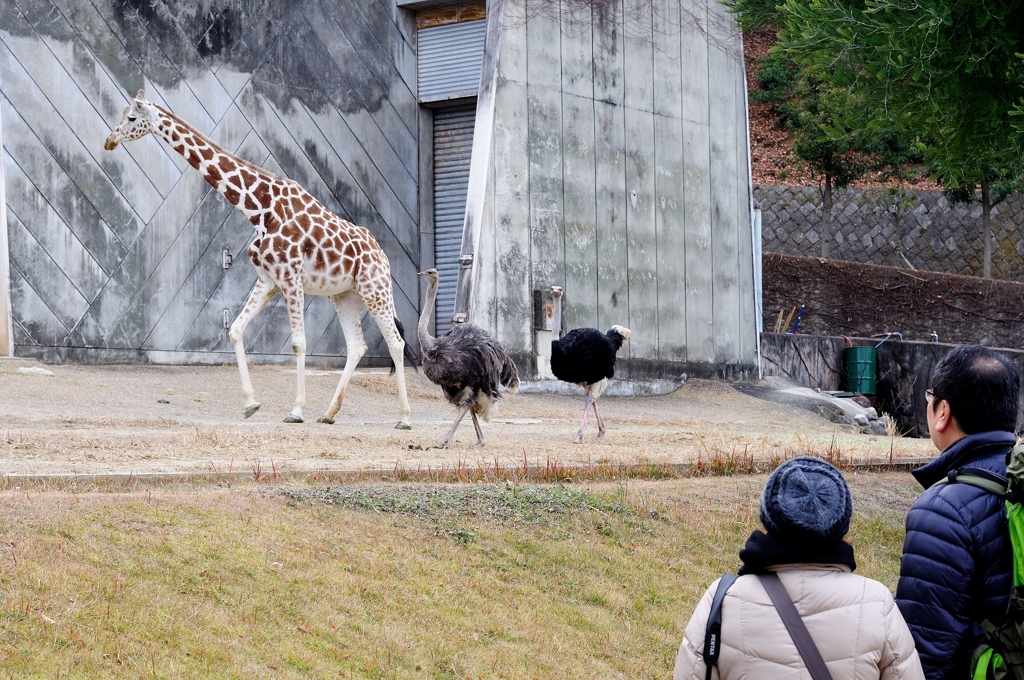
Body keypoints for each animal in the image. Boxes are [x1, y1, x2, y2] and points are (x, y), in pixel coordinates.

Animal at [105, 90, 413, 430]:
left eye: (132, 117)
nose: (109, 140)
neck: (258, 208)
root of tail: (382, 255)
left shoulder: (290, 277)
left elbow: (298, 343)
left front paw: (295, 411)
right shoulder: (268, 280)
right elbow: (236, 330)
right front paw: (251, 404)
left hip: (376, 290)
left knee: (396, 342)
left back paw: (404, 418)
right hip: (346, 296)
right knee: (358, 345)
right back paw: (329, 413)